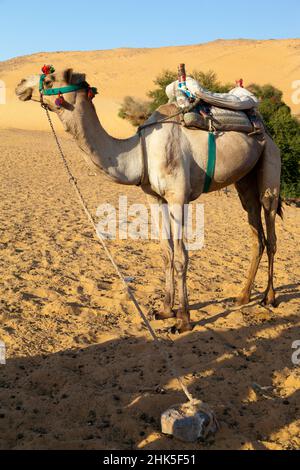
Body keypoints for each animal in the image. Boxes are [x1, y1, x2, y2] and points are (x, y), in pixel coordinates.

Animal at [15, 69, 284, 334]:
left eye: (50, 78)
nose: (20, 85)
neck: (140, 152)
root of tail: (266, 129)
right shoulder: (154, 198)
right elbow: (166, 252)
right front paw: (165, 310)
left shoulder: (178, 196)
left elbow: (182, 257)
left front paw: (183, 320)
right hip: (245, 181)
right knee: (256, 233)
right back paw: (242, 296)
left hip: (270, 164)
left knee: (270, 233)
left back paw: (269, 297)